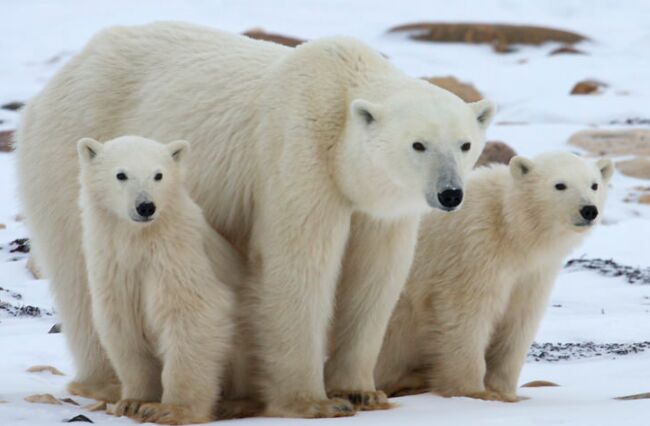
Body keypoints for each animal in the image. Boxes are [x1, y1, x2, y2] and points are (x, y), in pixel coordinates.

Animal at [76, 136, 238, 422]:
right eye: (121, 174)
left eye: (158, 175)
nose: (145, 206)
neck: (139, 240)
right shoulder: (113, 268)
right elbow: (122, 325)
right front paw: (133, 402)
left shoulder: (177, 257)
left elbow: (193, 315)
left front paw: (170, 410)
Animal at [372, 151, 612, 402]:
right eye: (560, 185)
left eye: (594, 184)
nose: (588, 210)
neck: (509, 226)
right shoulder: (473, 248)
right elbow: (465, 313)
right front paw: (474, 391)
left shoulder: (532, 273)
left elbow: (518, 321)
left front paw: (504, 391)